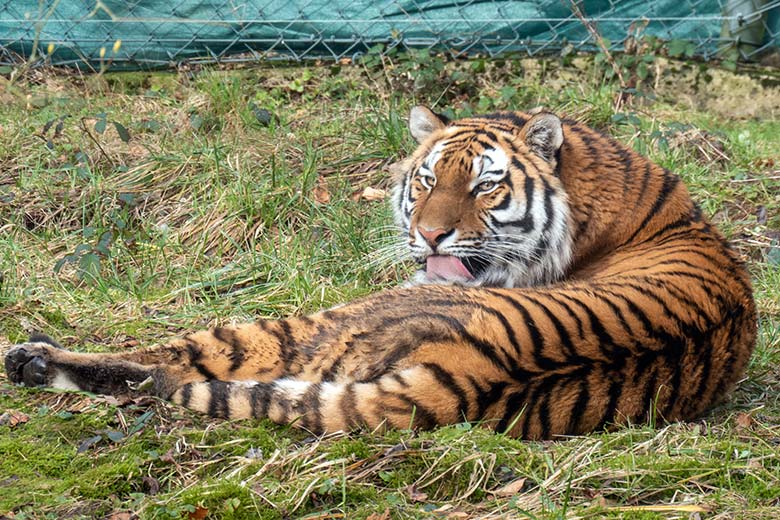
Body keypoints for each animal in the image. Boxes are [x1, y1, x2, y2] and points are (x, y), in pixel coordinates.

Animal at [1, 105, 756, 438]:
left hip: (320, 323)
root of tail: (475, 374)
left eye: (485, 187)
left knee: (170, 362)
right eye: (426, 180)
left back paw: (32, 360)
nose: (430, 235)